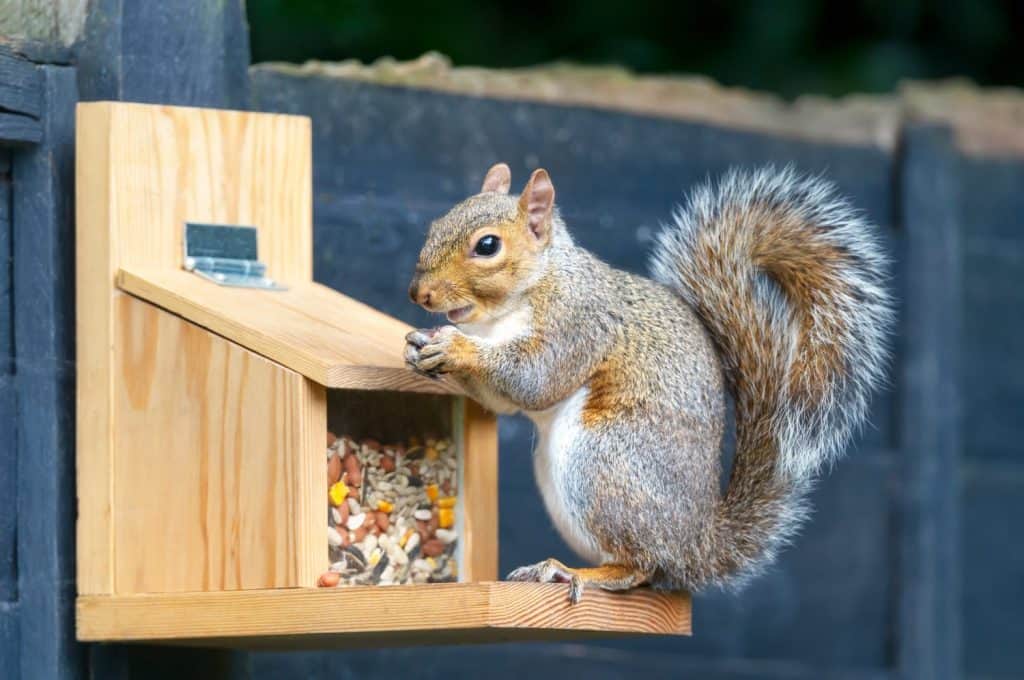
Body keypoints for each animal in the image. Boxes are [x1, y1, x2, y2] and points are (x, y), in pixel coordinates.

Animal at [404, 163, 891, 603]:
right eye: (434, 225)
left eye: (487, 245)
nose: (419, 294)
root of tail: (696, 546)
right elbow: (505, 400)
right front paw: (420, 348)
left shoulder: (577, 322)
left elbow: (536, 378)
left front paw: (456, 349)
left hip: (602, 462)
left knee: (639, 567)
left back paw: (571, 572)